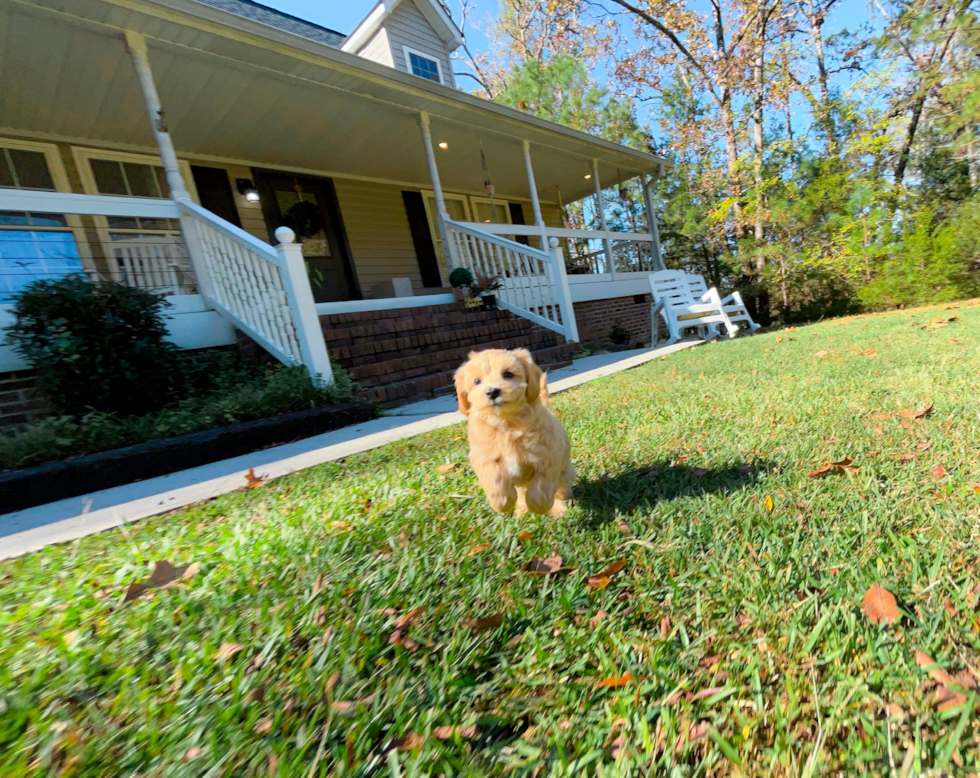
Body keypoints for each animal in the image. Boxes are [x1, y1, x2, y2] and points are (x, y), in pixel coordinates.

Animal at [454, 348, 576, 512]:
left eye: (508, 374)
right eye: (477, 381)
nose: (492, 392)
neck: (506, 424)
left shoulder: (548, 456)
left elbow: (542, 486)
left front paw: (538, 506)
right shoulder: (485, 456)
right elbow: (494, 479)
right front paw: (502, 502)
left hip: (564, 472)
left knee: (560, 489)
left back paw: (557, 509)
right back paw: (522, 509)